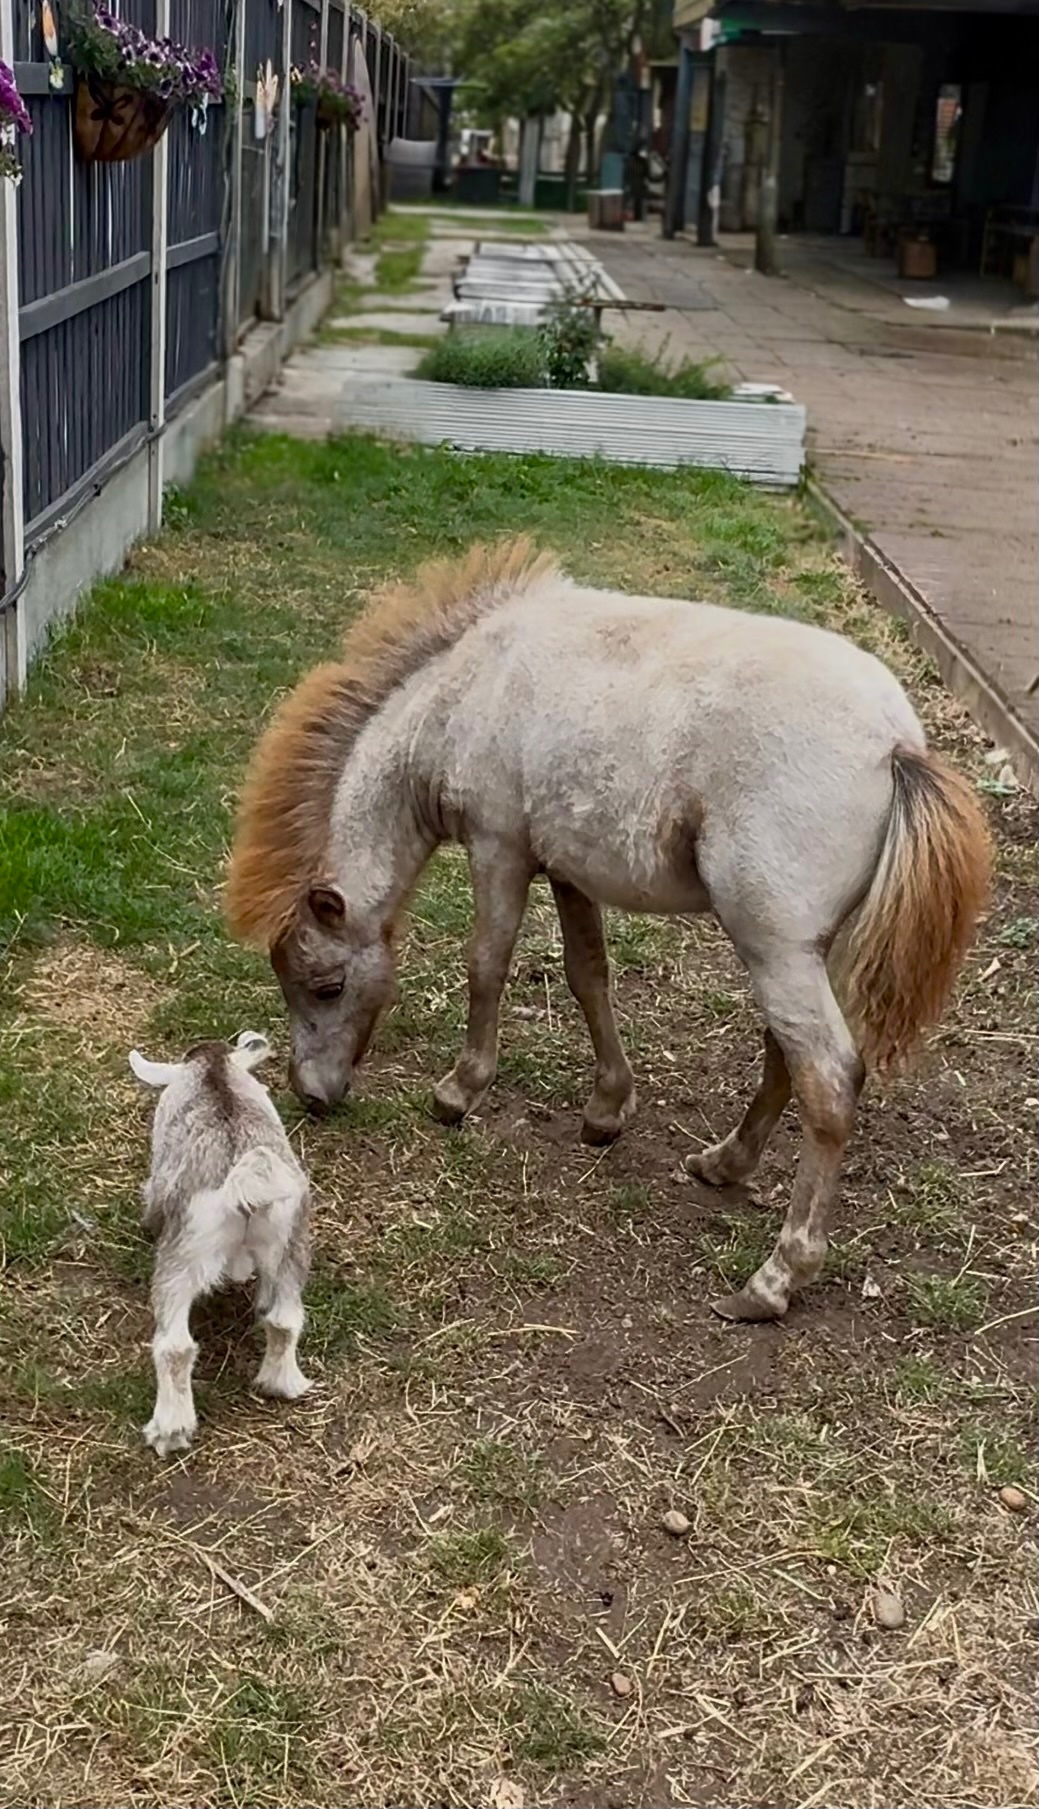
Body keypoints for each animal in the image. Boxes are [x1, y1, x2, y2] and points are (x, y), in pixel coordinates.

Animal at [225, 538, 990, 1323]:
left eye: (326, 985)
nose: (313, 1095)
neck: (468, 684)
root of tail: (896, 745)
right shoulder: (567, 866)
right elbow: (587, 974)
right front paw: (606, 1109)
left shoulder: (499, 847)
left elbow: (486, 963)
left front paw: (459, 1092)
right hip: (808, 951)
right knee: (786, 1056)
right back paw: (723, 1163)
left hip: (776, 949)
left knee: (829, 1081)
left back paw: (774, 1278)